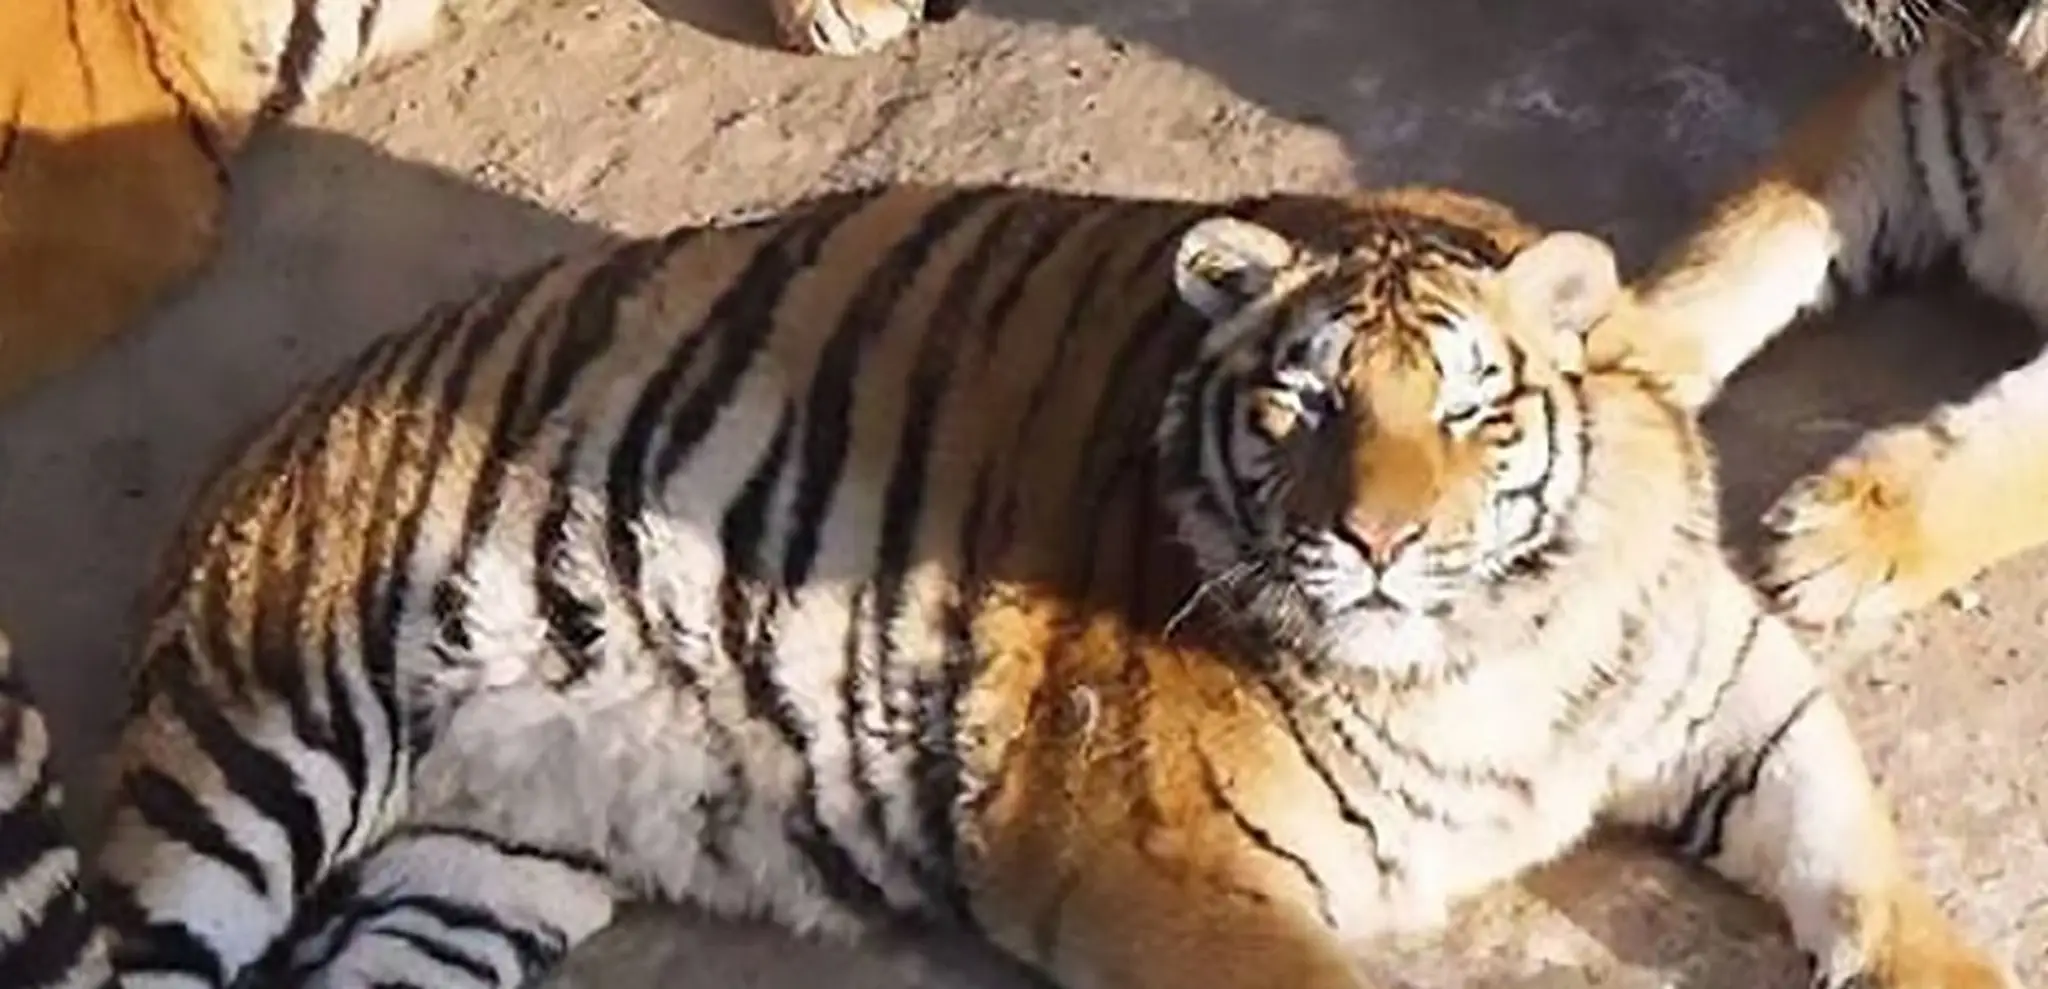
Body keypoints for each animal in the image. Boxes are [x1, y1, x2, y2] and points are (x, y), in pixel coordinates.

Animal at [0, 182, 2015, 989]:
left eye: (1466, 409)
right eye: (1297, 406)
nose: (1371, 541)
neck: (1484, 654)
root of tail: (262, 429)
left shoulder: (1740, 698)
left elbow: (1867, 857)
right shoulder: (1155, 867)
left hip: (478, 867)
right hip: (264, 752)